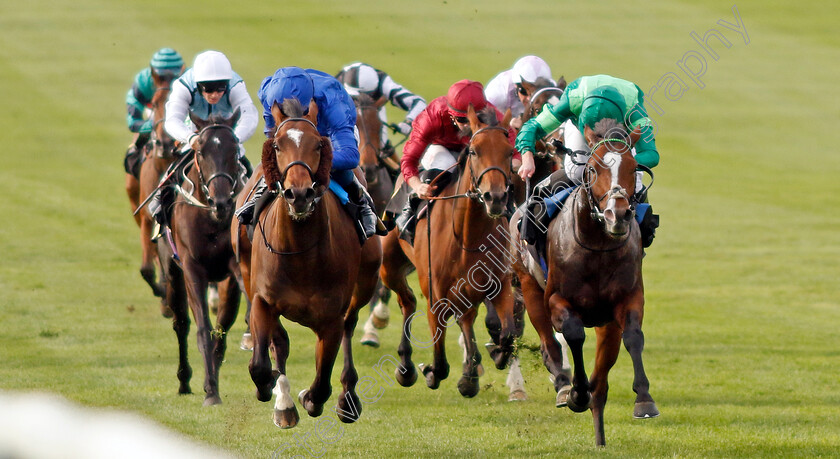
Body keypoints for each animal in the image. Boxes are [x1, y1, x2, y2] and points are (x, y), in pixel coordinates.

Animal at [157, 110, 244, 406]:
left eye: (234, 150)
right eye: (200, 151)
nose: (222, 203)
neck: (211, 219)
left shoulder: (234, 270)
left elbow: (223, 328)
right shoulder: (193, 269)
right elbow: (203, 329)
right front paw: (211, 390)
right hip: (172, 270)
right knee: (181, 324)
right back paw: (184, 380)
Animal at [235, 99, 382, 430]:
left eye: (318, 145)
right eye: (277, 145)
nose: (299, 193)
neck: (299, 253)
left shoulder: (331, 317)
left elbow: (322, 383)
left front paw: (310, 397)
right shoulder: (262, 298)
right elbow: (260, 364)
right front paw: (272, 388)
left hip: (365, 281)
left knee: (350, 326)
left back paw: (347, 397)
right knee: (279, 341)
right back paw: (284, 403)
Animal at [380, 104, 520, 398]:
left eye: (508, 150)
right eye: (474, 151)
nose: (495, 198)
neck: (467, 235)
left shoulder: (499, 284)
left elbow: (507, 335)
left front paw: (493, 356)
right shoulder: (435, 294)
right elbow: (440, 360)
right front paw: (430, 370)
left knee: (465, 317)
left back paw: (469, 373)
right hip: (389, 266)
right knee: (408, 301)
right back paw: (406, 367)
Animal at [508, 118, 660, 446]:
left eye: (633, 167)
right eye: (592, 168)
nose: (617, 214)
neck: (597, 248)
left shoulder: (628, 298)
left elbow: (634, 337)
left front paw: (644, 400)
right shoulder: (557, 300)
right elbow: (574, 335)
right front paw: (576, 393)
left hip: (605, 325)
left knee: (601, 383)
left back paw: (600, 436)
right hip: (528, 286)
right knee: (548, 344)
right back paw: (564, 386)